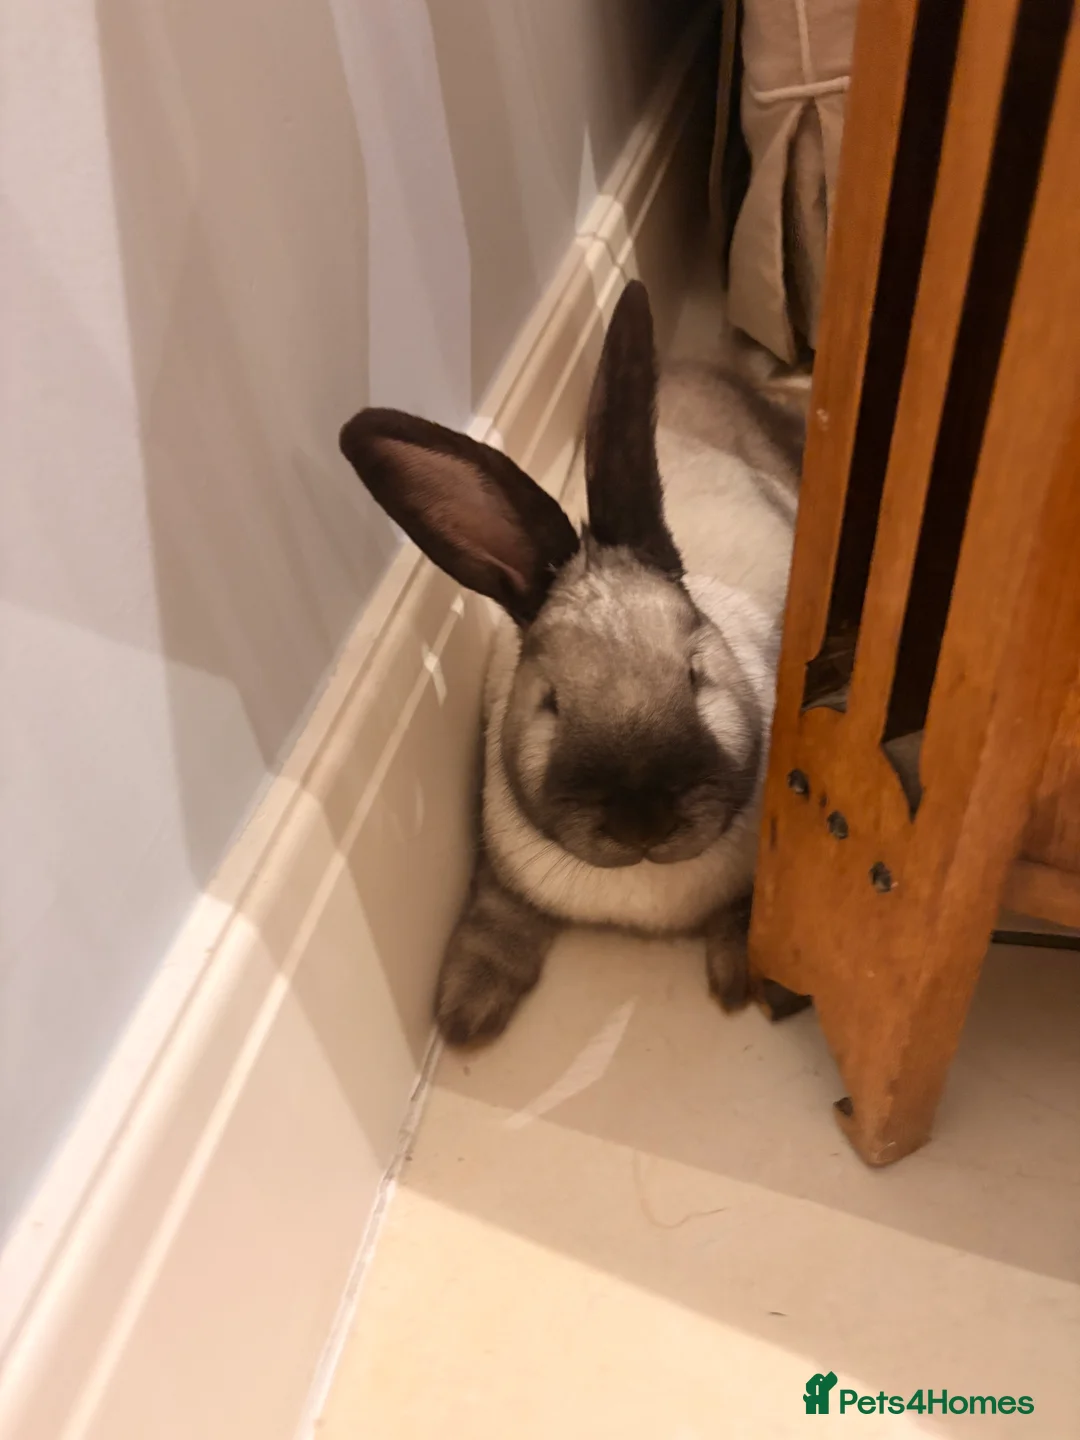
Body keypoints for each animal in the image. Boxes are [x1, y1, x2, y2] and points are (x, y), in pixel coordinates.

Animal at [339, 280, 809, 1047]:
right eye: (551, 701)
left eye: (695, 673)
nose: (643, 821)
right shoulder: (500, 870)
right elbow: (495, 920)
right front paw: (467, 1011)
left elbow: (749, 914)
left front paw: (740, 977)